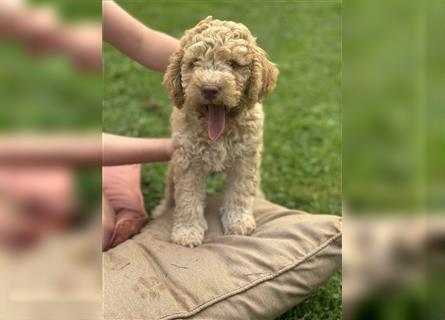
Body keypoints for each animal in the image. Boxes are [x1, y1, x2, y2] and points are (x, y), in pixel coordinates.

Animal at [153, 16, 278, 248]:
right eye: (194, 63)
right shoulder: (186, 159)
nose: (209, 89)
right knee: (170, 189)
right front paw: (187, 231)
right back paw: (161, 209)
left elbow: (240, 190)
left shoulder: (245, 157)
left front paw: (238, 221)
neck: (219, 132)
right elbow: (188, 198)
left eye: (233, 64)